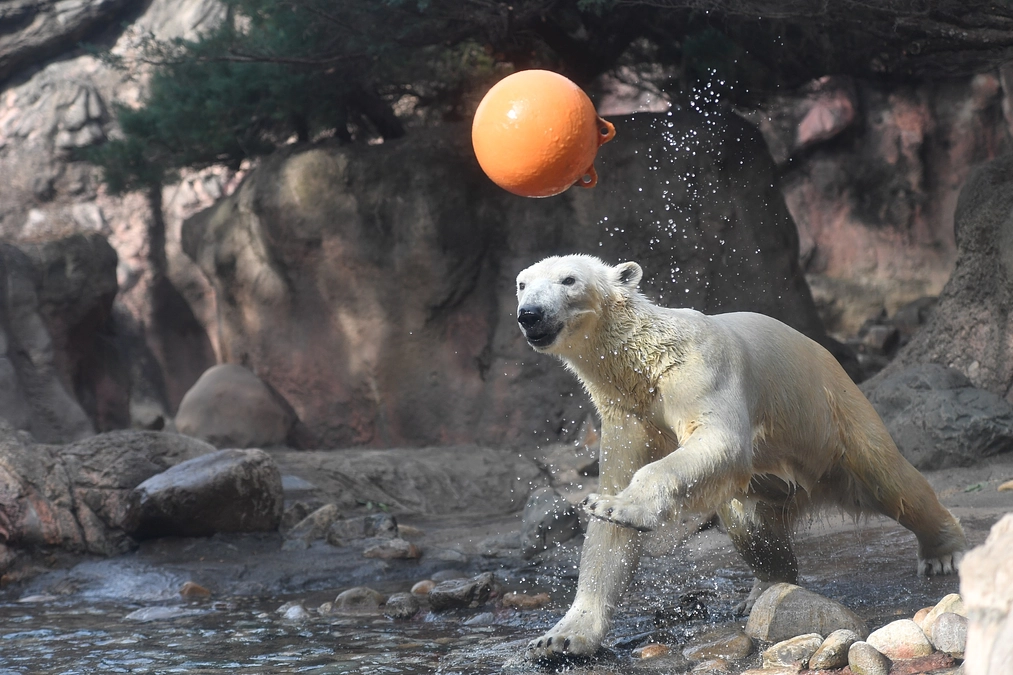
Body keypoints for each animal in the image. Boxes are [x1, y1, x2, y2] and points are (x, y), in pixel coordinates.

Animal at [515, 254, 966, 661]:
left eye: (569, 279)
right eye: (522, 283)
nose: (529, 314)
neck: (642, 366)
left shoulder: (696, 369)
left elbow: (720, 439)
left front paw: (622, 507)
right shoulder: (626, 416)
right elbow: (609, 532)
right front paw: (559, 638)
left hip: (833, 420)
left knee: (889, 480)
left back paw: (942, 551)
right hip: (777, 477)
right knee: (750, 522)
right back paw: (762, 591)